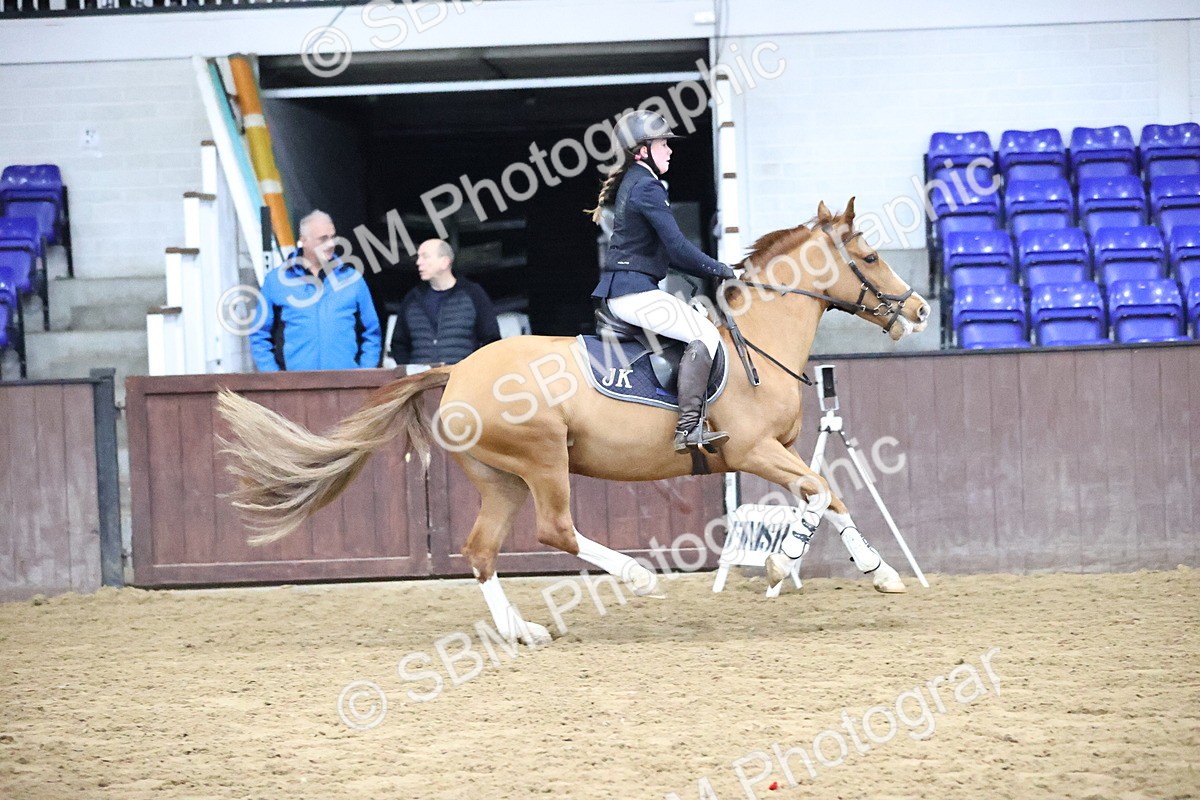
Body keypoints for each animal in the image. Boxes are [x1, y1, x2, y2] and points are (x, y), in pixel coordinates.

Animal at [217, 198, 931, 644]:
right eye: (869, 257)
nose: (919, 310)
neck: (758, 336)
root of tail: (457, 373)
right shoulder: (752, 450)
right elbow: (819, 493)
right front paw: (786, 564)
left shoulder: (780, 450)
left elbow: (829, 495)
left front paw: (880, 572)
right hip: (542, 460)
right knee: (555, 529)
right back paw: (637, 578)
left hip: (500, 478)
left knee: (481, 551)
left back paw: (521, 632)